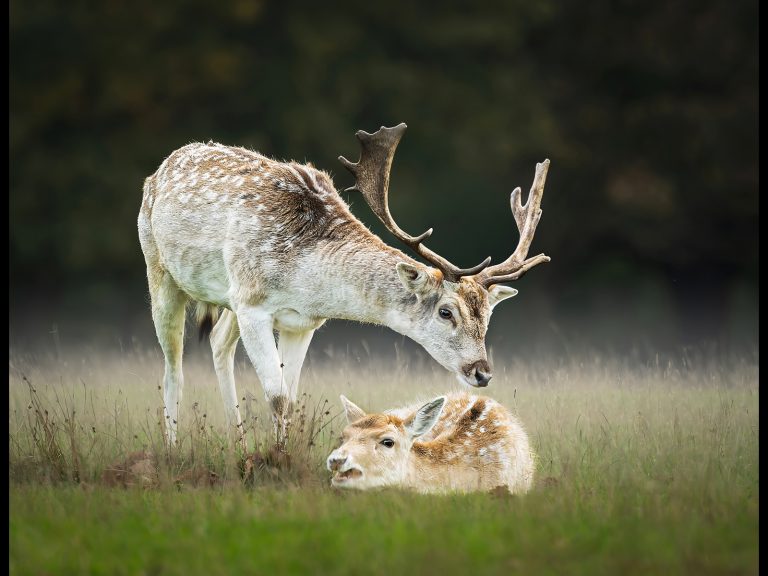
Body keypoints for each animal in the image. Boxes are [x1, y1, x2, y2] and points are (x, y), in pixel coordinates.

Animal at [137, 123, 550, 447]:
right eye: (446, 312)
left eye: (488, 316)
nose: (482, 372)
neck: (305, 278)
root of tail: (158, 171)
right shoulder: (252, 303)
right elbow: (277, 397)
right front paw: (275, 463)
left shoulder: (301, 322)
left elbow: (291, 396)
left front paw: (280, 455)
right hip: (159, 269)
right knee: (173, 367)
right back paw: (172, 449)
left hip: (226, 300)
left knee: (218, 341)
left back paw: (238, 442)